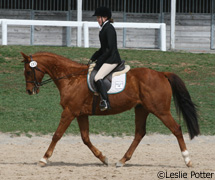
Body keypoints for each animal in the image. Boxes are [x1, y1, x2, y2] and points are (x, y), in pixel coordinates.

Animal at [21, 51, 199, 167]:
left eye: (28, 71)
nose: (29, 91)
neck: (71, 77)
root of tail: (161, 73)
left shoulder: (69, 112)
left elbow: (57, 135)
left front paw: (44, 159)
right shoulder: (80, 114)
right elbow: (85, 138)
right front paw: (103, 158)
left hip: (160, 111)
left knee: (176, 129)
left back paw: (188, 160)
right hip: (142, 109)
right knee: (139, 133)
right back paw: (122, 160)